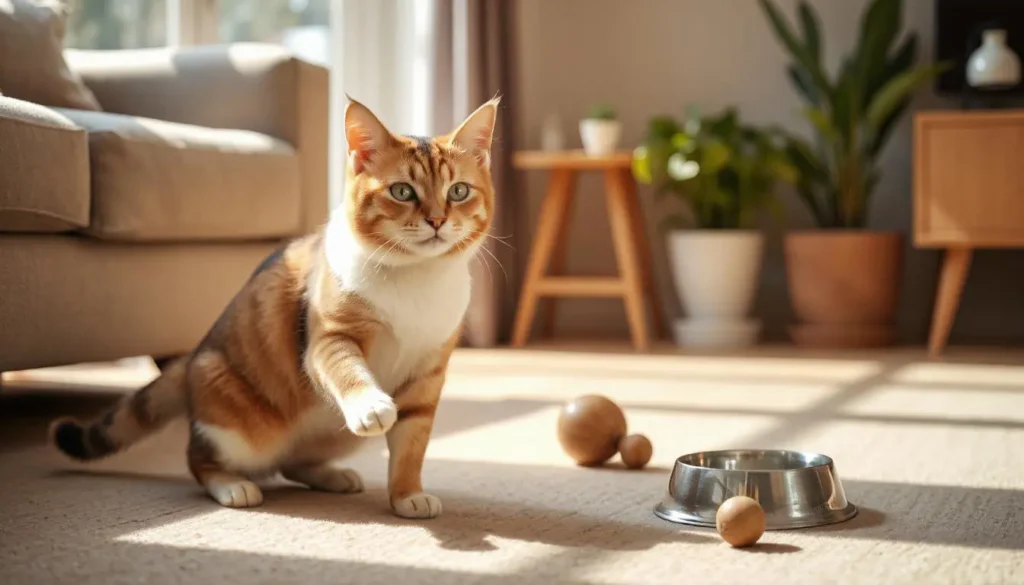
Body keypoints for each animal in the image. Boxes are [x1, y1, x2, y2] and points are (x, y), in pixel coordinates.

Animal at [49, 96, 501, 522]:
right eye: (403, 191)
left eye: (458, 191)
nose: (437, 220)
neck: (416, 279)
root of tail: (193, 357)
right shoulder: (326, 339)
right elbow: (348, 369)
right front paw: (370, 405)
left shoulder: (428, 374)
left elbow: (411, 445)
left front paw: (408, 496)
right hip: (241, 428)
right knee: (199, 458)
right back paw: (233, 486)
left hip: (336, 436)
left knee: (292, 463)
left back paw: (332, 476)